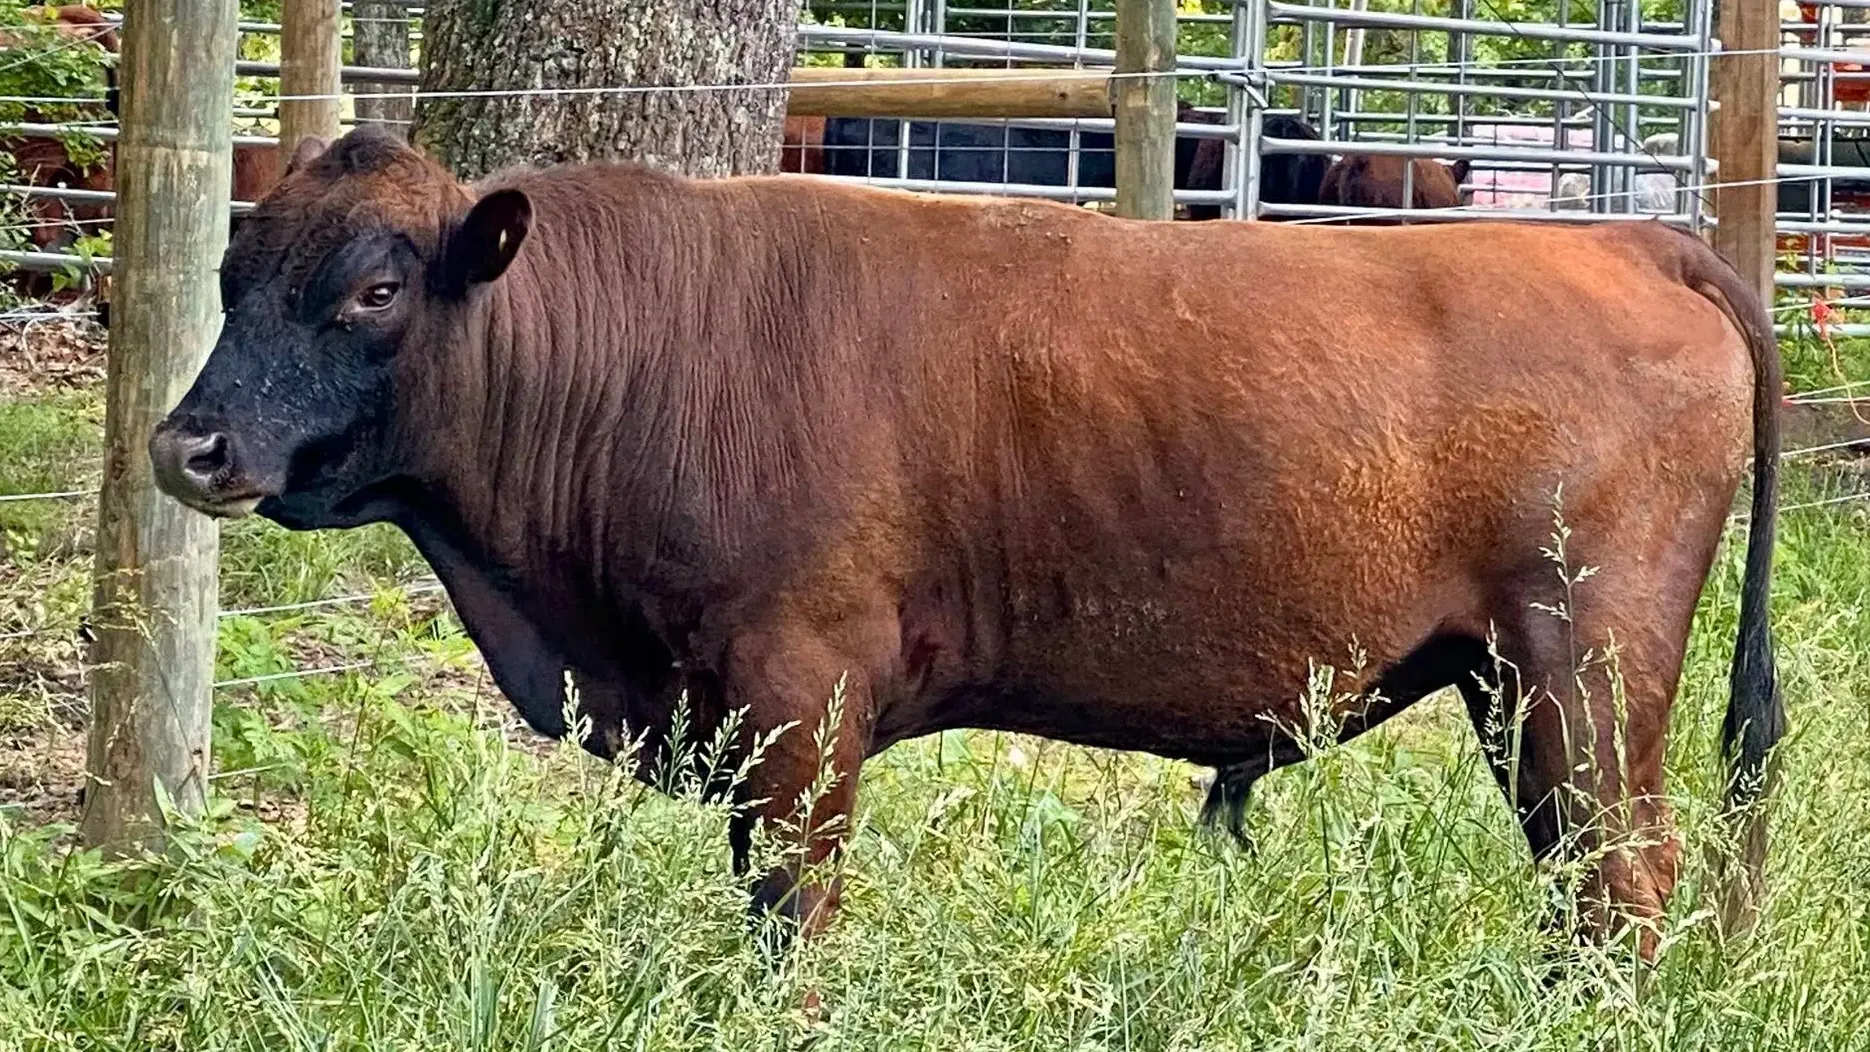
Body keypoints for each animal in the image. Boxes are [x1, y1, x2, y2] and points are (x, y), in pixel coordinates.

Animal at [149, 126, 1781, 962]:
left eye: (373, 289)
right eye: (230, 273)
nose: (190, 446)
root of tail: (1629, 239)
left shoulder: (796, 703)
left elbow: (792, 917)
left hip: (1582, 677)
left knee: (1625, 882)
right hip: (1514, 692)